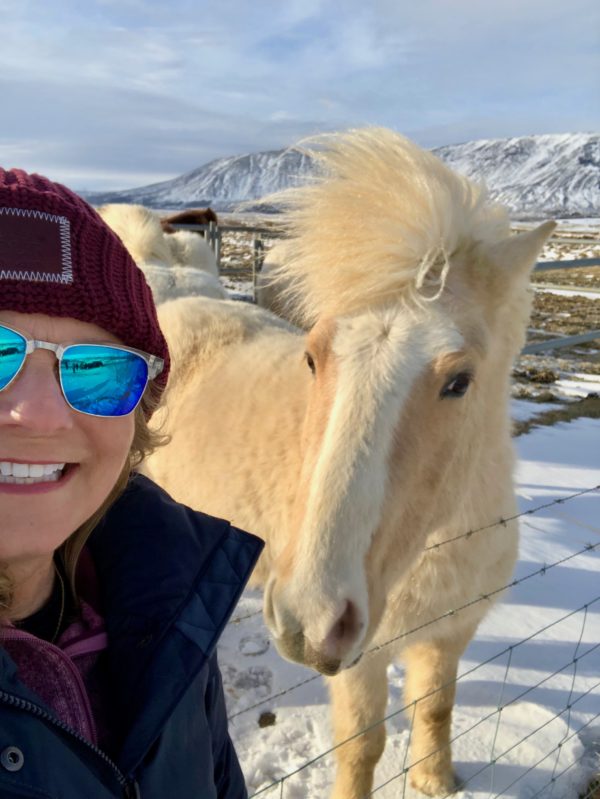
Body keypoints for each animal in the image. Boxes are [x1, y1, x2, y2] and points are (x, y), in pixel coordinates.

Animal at [143, 128, 556, 796]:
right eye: (313, 358)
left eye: (460, 381)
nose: (309, 618)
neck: (436, 543)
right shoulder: (363, 655)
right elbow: (364, 746)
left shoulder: (450, 633)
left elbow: (436, 709)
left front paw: (437, 781)